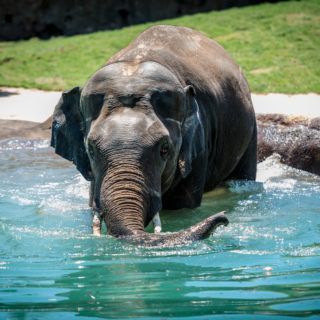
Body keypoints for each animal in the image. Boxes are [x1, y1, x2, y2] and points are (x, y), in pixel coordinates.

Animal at [51, 25, 256, 245]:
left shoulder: (199, 145)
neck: (135, 62)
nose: (224, 217)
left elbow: (182, 203)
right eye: (90, 150)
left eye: (164, 149)